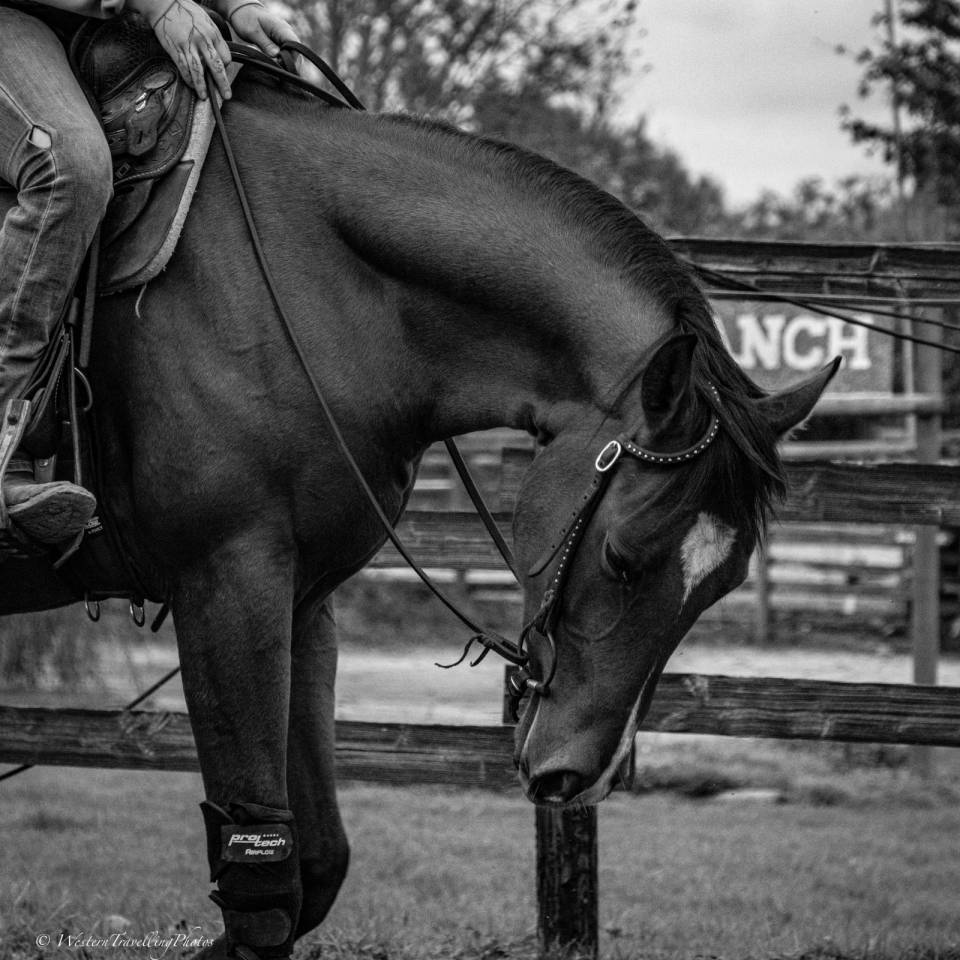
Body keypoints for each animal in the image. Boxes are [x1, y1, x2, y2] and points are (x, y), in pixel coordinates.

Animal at [60, 69, 834, 957]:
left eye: (724, 585)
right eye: (623, 557)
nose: (582, 778)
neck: (303, 286)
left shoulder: (299, 597)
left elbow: (314, 864)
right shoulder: (225, 583)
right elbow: (264, 886)